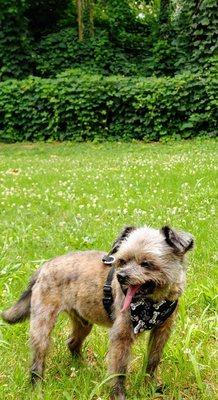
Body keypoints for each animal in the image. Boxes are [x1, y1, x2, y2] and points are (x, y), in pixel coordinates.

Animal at [1, 225, 192, 400]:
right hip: (43, 325)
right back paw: (37, 386)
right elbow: (119, 370)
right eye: (122, 261)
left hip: (83, 322)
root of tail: (45, 266)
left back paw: (81, 367)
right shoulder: (121, 337)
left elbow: (153, 360)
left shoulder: (162, 331)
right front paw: (118, 395)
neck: (153, 304)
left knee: (72, 342)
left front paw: (150, 387)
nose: (121, 276)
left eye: (146, 263)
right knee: (38, 357)